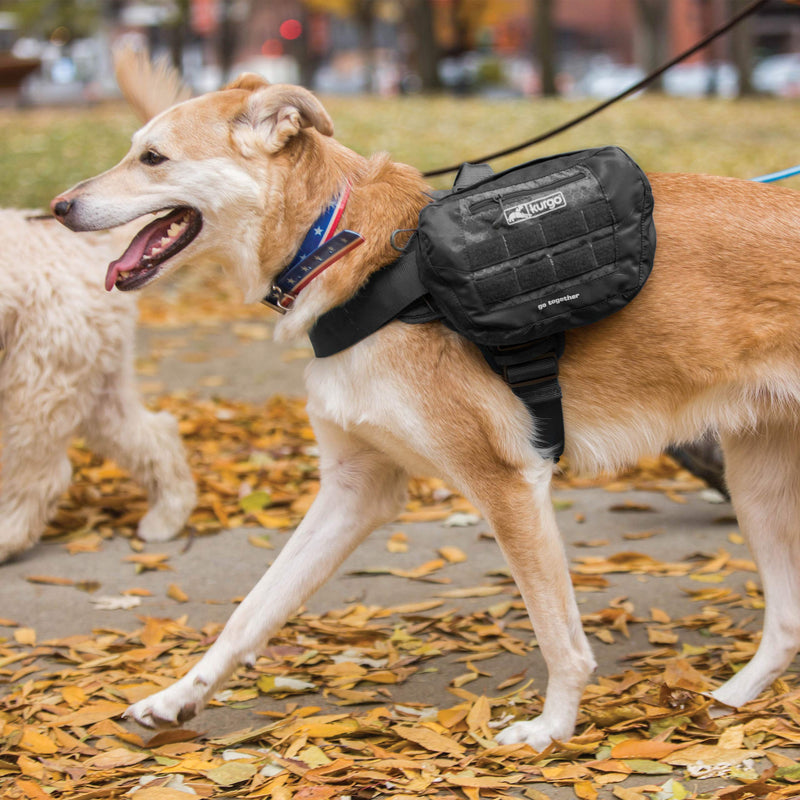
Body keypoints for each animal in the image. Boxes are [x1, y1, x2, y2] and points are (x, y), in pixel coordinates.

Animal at [0, 212, 195, 564]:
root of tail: (93, 250)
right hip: (96, 386)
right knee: (157, 435)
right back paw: (167, 519)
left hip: (38, 385)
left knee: (41, 478)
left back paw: (6, 538)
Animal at [51, 62, 800, 752]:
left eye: (152, 157)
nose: (58, 207)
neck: (341, 249)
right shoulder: (356, 488)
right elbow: (252, 610)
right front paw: (179, 696)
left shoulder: (508, 485)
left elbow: (559, 639)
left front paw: (552, 729)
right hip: (756, 482)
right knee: (787, 623)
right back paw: (730, 700)